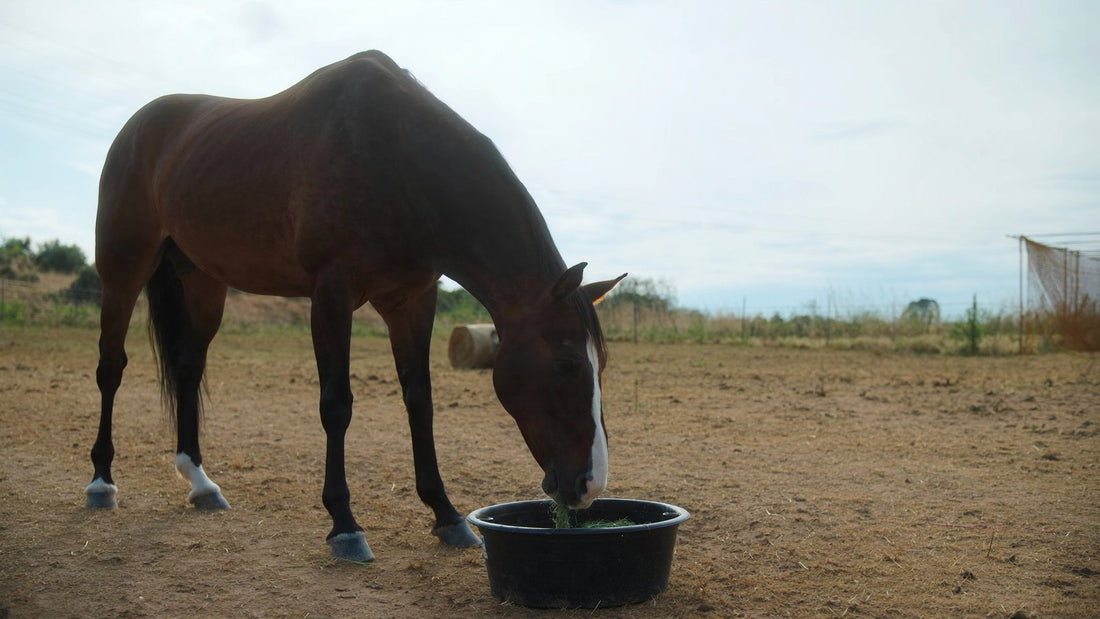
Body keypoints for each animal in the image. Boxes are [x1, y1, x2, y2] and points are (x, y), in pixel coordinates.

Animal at [85, 50, 626, 562]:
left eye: (601, 366)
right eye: (566, 363)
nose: (589, 485)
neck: (398, 161)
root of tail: (137, 127)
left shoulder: (412, 300)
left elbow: (420, 402)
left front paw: (447, 516)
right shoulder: (332, 294)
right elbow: (336, 406)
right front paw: (344, 524)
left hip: (202, 282)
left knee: (188, 367)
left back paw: (201, 484)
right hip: (123, 268)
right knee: (111, 367)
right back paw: (101, 483)